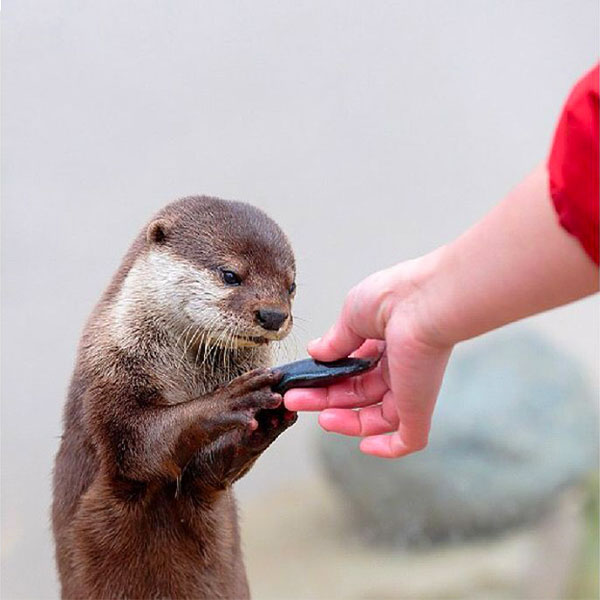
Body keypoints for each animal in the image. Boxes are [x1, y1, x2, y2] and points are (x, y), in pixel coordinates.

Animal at [51, 195, 298, 596]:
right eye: (230, 275)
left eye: (291, 285)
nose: (274, 315)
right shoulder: (110, 374)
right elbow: (137, 443)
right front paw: (233, 399)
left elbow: (208, 471)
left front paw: (265, 424)